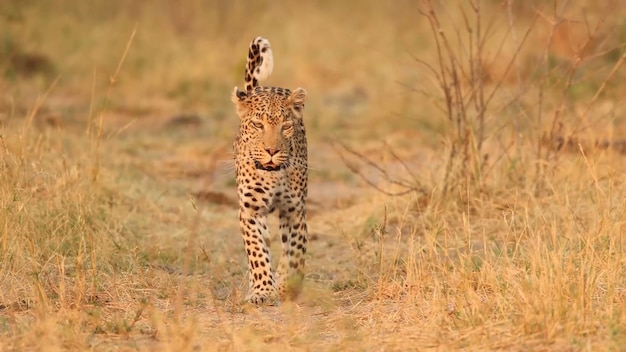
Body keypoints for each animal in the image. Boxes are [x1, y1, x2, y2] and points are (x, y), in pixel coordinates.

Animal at [229, 36, 308, 306]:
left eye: (286, 126)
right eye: (257, 124)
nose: (271, 150)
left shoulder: (294, 210)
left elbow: (295, 251)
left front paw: (287, 286)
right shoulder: (250, 211)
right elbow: (257, 252)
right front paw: (263, 290)